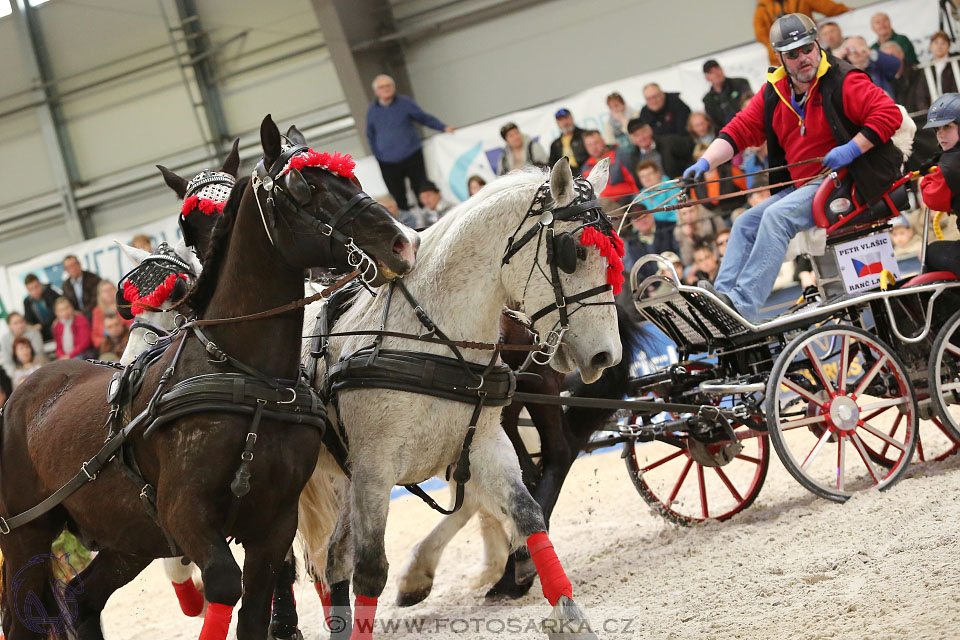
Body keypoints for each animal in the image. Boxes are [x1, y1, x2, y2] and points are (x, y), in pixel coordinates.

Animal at [0, 114, 420, 640]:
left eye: (352, 178)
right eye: (304, 187)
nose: (402, 242)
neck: (249, 377)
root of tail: (20, 394)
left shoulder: (274, 521)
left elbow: (258, 608)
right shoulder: (186, 514)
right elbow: (223, 584)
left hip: (127, 535)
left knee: (81, 598)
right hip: (26, 535)